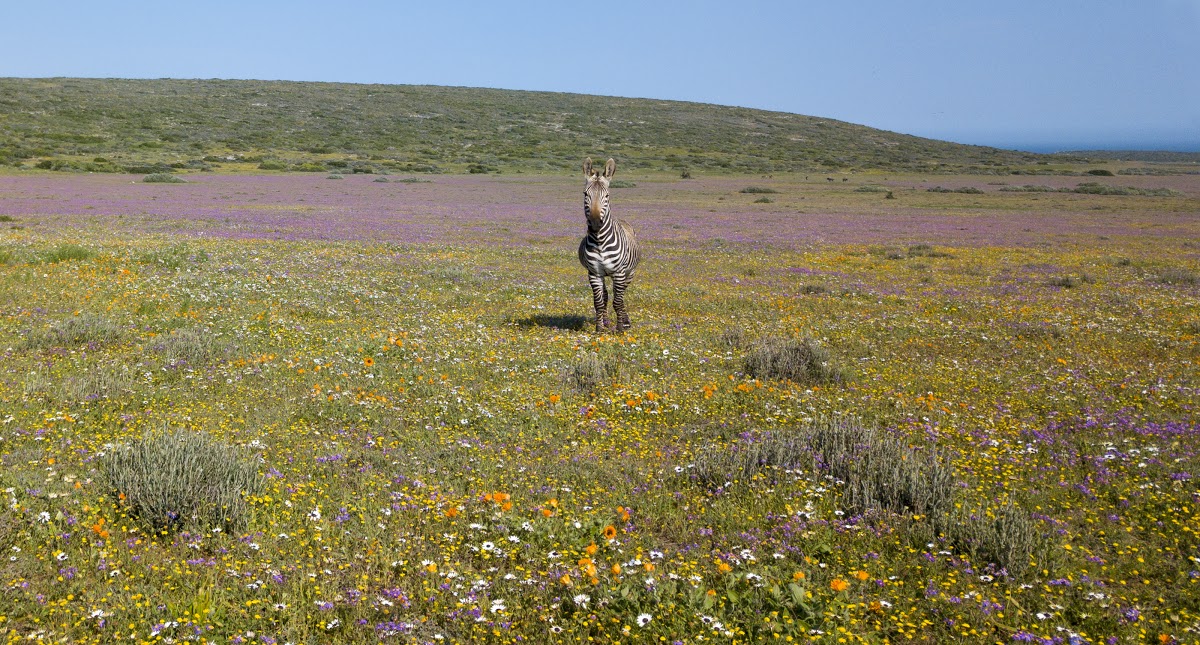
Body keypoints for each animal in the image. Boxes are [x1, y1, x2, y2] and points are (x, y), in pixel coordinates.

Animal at [578, 157, 643, 330]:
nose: (595, 223)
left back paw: (625, 321)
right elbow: (599, 302)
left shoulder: (619, 273)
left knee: (621, 295)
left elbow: (618, 301)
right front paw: (599, 328)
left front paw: (620, 328)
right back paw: (606, 322)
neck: (600, 241)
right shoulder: (594, 273)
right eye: (585, 194)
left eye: (607, 195)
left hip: (629, 273)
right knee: (606, 295)